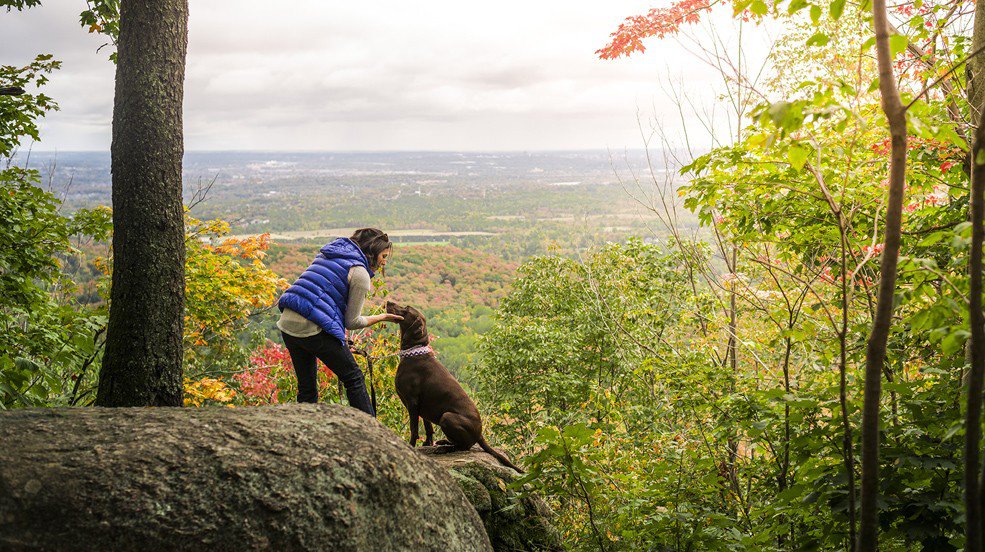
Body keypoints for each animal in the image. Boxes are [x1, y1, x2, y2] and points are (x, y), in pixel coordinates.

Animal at [384, 300, 524, 472]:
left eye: (406, 308)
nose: (388, 301)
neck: (414, 353)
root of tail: (480, 434)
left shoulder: (412, 403)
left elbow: (414, 429)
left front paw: (410, 447)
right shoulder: (422, 406)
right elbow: (428, 428)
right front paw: (427, 444)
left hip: (447, 417)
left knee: (464, 446)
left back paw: (445, 448)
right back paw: (444, 442)